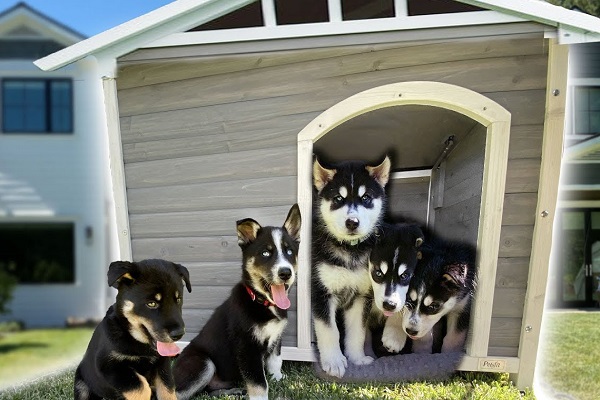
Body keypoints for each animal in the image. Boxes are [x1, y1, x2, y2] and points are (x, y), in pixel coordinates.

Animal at [74, 258, 191, 398]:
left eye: (178, 300)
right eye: (152, 303)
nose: (179, 334)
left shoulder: (162, 364)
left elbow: (167, 389)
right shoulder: (109, 366)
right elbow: (141, 386)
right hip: (81, 383)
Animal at [312, 155, 392, 378]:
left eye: (366, 198)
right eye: (339, 199)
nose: (352, 222)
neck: (349, 250)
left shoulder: (361, 296)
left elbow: (357, 331)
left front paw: (356, 358)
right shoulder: (321, 292)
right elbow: (329, 330)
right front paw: (334, 361)